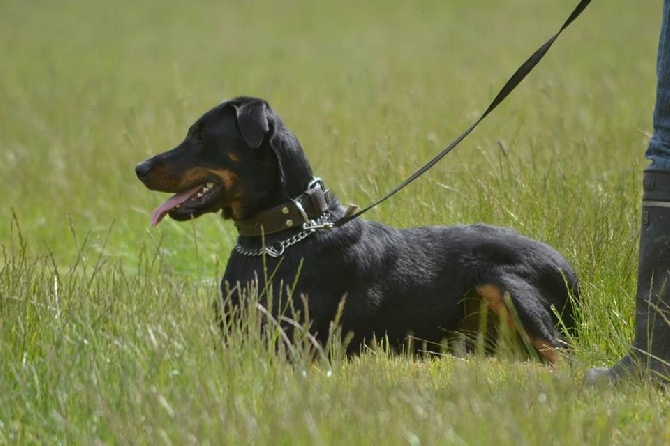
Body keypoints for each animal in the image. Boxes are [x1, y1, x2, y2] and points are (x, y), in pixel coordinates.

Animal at [134, 96, 580, 364]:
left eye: (202, 136)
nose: (139, 168)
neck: (277, 237)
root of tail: (571, 271)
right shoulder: (230, 338)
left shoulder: (293, 346)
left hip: (502, 283)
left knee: (562, 355)